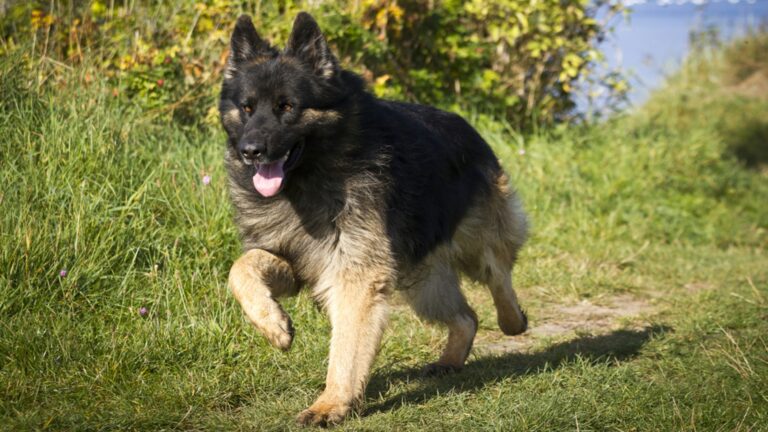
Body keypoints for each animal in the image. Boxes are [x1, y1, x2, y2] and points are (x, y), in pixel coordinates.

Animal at [216, 11, 528, 426]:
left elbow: (346, 348)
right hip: (425, 283)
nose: (251, 151)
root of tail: (467, 127)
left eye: (287, 107)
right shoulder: (293, 260)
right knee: (467, 317)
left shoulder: (356, 275)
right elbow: (241, 268)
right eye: (247, 108)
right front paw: (273, 324)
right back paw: (450, 360)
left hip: (478, 244)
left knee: (498, 275)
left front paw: (331, 403)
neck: (312, 177)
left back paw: (513, 321)